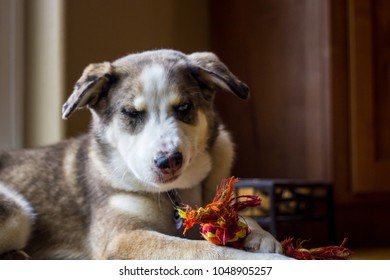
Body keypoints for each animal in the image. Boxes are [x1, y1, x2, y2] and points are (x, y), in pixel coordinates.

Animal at [0, 48, 286, 260]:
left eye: (184, 107)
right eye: (131, 113)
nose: (168, 161)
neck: (173, 195)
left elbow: (238, 218)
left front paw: (261, 236)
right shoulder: (121, 238)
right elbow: (206, 250)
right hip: (17, 212)